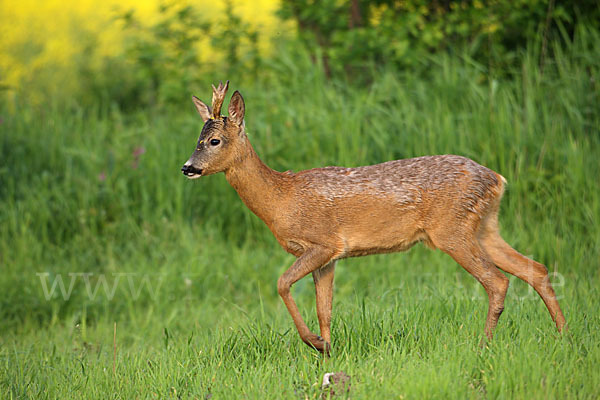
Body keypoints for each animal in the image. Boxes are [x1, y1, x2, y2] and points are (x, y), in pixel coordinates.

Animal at [182, 80, 568, 354]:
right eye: (197, 139)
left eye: (214, 141)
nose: (187, 167)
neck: (281, 198)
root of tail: (497, 179)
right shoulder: (330, 257)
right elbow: (325, 309)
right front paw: (328, 351)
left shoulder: (323, 243)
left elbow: (281, 283)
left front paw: (316, 344)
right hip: (485, 225)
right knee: (536, 268)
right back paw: (564, 335)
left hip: (452, 229)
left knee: (497, 281)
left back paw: (484, 346)